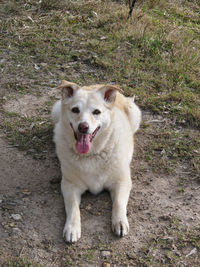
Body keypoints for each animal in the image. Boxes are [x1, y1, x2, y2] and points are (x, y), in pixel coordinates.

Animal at [52, 80, 141, 243]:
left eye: (97, 112)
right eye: (75, 110)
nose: (83, 127)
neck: (92, 154)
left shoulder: (122, 181)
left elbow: (119, 202)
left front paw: (120, 221)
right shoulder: (69, 185)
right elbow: (72, 207)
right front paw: (72, 227)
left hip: (135, 114)